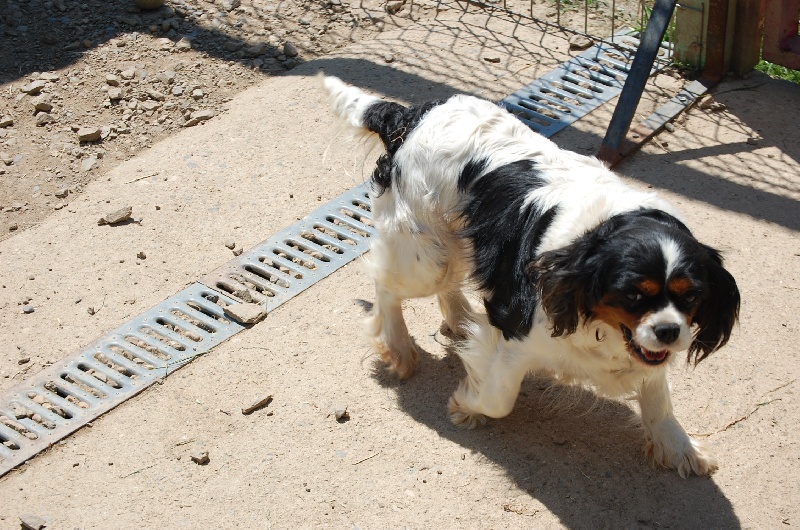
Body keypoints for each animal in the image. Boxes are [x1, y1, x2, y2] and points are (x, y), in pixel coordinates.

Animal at [322, 73, 740, 474]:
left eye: (691, 296)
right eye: (633, 294)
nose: (669, 331)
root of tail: (410, 114)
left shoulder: (644, 346)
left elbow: (657, 393)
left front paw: (677, 445)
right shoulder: (515, 329)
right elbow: (499, 399)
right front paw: (466, 404)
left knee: (445, 282)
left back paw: (460, 319)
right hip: (424, 257)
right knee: (387, 286)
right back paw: (398, 348)